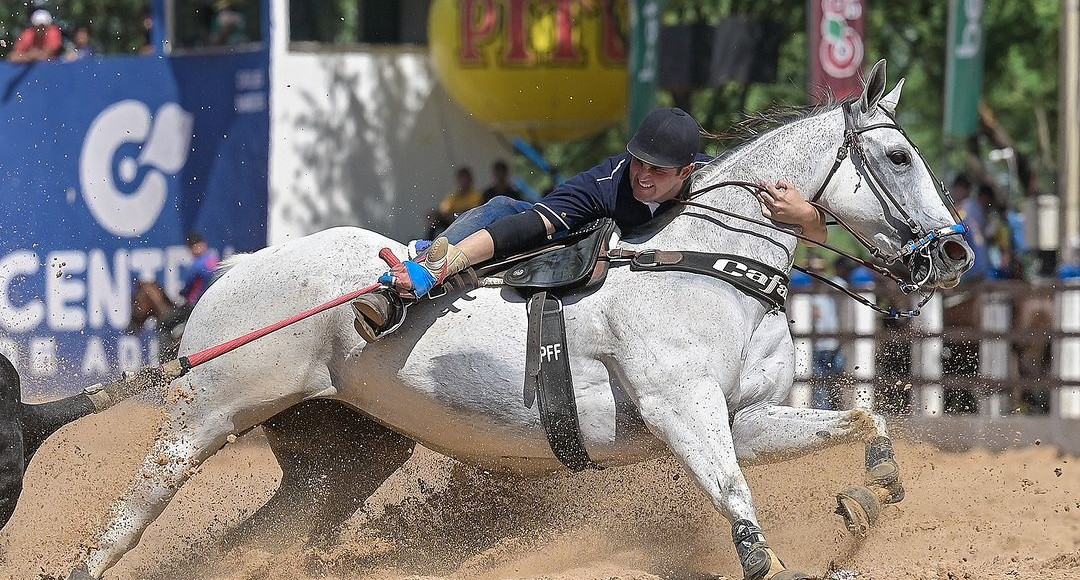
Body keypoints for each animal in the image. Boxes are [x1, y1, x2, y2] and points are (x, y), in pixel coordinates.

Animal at [63, 61, 972, 574]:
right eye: (899, 155)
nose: (957, 252)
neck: (710, 266)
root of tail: (236, 267)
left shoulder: (742, 419)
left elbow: (863, 421)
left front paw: (870, 498)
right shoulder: (685, 414)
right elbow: (739, 509)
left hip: (346, 455)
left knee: (257, 541)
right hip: (205, 415)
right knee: (128, 517)